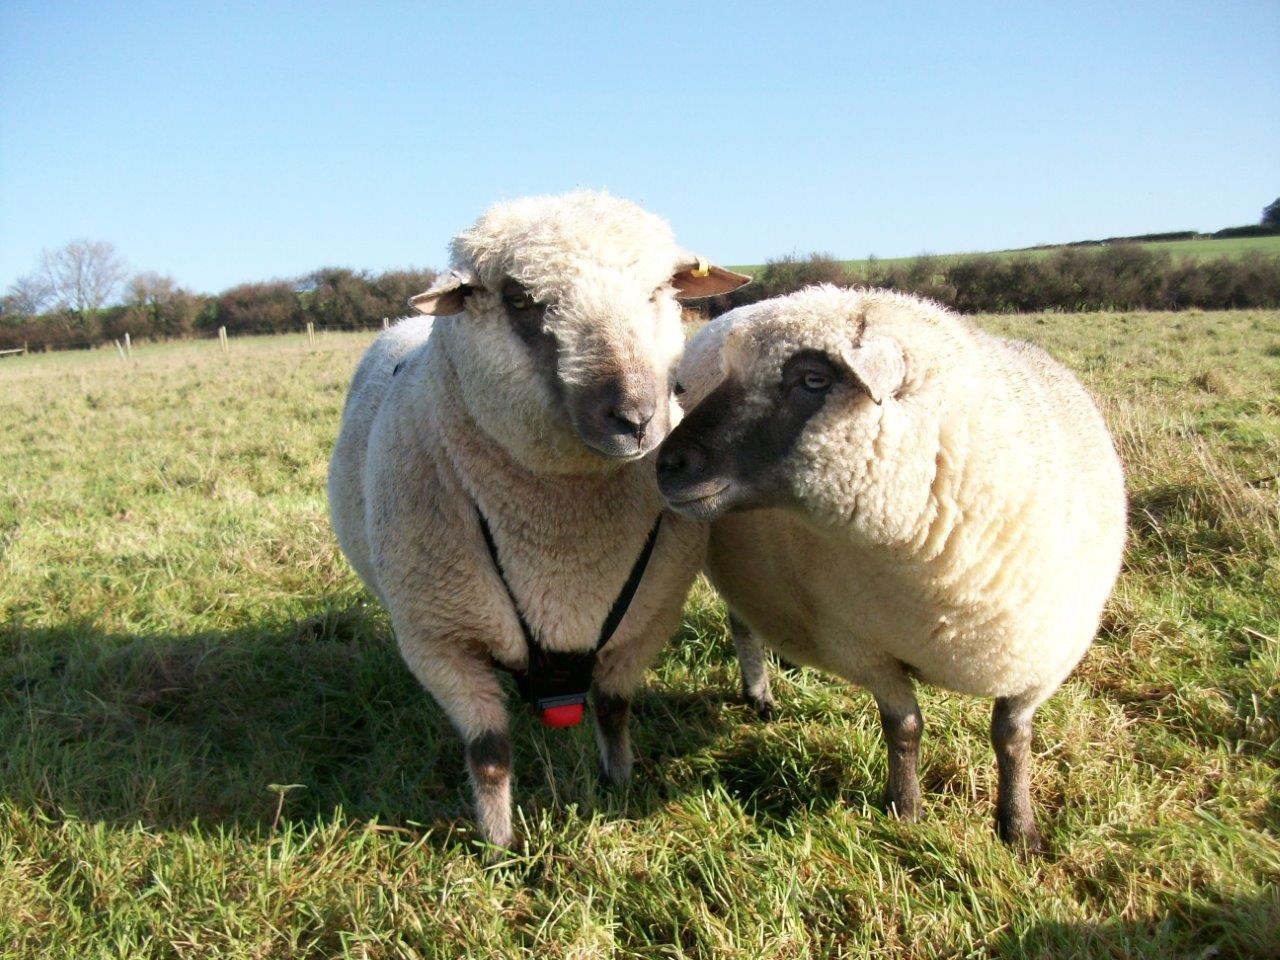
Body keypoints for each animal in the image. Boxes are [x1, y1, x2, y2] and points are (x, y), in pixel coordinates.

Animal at [327, 191, 749, 849]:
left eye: (660, 290)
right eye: (520, 300)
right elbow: (489, 752)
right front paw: (499, 846)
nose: (635, 418)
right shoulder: (441, 642)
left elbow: (613, 710)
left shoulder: (646, 621)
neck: (562, 543)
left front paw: (618, 783)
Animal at [656, 285, 1126, 850]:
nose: (666, 464)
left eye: (813, 380)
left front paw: (1019, 828)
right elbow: (905, 727)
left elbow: (1012, 738)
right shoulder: (864, 646)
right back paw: (759, 695)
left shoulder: (1043, 659)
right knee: (742, 623)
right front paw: (907, 809)